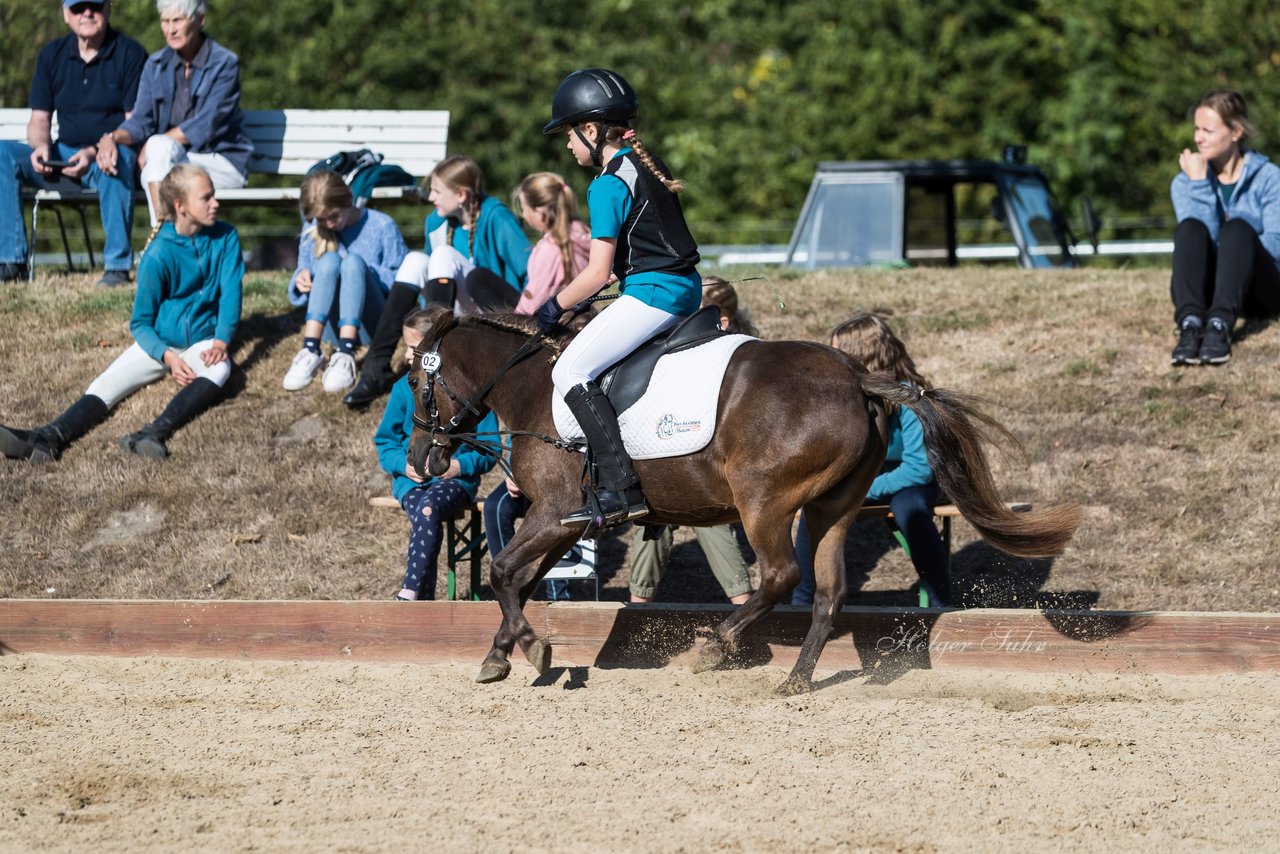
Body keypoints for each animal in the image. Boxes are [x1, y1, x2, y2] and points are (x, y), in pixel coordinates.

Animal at [409, 307, 1080, 696]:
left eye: (415, 379)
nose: (421, 460)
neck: (528, 387)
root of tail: (856, 375)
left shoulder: (553, 512)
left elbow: (502, 571)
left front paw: (532, 649)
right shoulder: (568, 523)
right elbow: (518, 580)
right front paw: (500, 655)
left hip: (764, 501)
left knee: (782, 576)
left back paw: (715, 646)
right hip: (832, 507)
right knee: (830, 590)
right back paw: (797, 679)